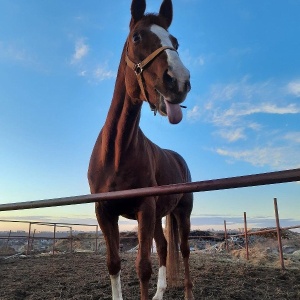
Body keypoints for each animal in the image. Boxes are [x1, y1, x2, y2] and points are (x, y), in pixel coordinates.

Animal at [88, 1, 193, 298]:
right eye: (136, 37)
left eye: (176, 42)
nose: (179, 81)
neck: (116, 153)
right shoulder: (105, 212)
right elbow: (113, 263)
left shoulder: (144, 209)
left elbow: (143, 266)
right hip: (159, 216)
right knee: (166, 247)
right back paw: (160, 292)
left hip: (183, 212)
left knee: (184, 250)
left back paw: (188, 292)